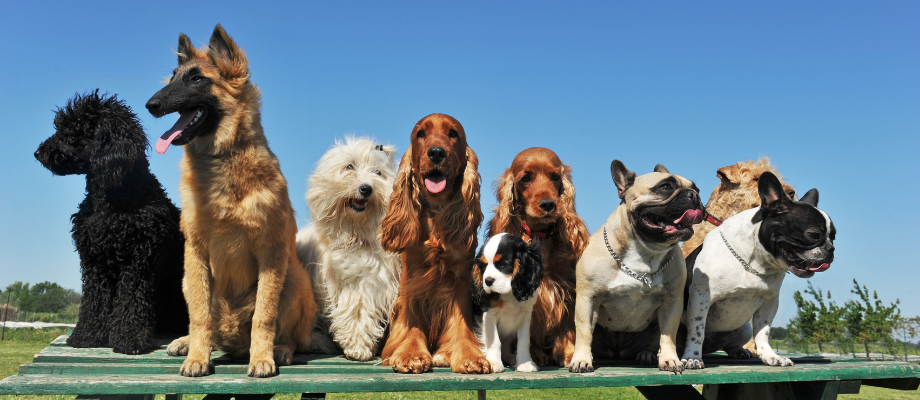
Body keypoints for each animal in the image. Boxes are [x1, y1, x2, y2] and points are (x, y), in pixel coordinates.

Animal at [144, 25, 316, 378]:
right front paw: (197, 357)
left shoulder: (271, 253)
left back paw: (280, 350)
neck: (222, 159)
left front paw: (261, 357)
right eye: (173, 78)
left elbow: (264, 315)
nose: (150, 104)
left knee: (290, 335)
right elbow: (199, 317)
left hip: (294, 280)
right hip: (187, 280)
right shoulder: (195, 254)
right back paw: (188, 343)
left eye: (197, 79)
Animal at [296, 136, 400, 360]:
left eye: (378, 173)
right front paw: (358, 347)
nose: (366, 188)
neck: (354, 232)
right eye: (349, 166)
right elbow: (357, 310)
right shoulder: (355, 284)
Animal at [470, 233, 544, 374]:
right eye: (484, 266)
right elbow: (494, 341)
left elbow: (523, 341)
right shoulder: (488, 315)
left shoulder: (525, 315)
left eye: (503, 264)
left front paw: (525, 363)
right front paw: (494, 362)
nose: (488, 281)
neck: (509, 292)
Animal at [684, 172, 832, 368]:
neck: (754, 263)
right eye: (813, 234)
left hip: (743, 328)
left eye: (834, 236)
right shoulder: (701, 297)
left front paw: (770, 356)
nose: (831, 249)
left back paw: (738, 350)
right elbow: (696, 330)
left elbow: (763, 332)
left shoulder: (769, 302)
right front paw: (692, 357)